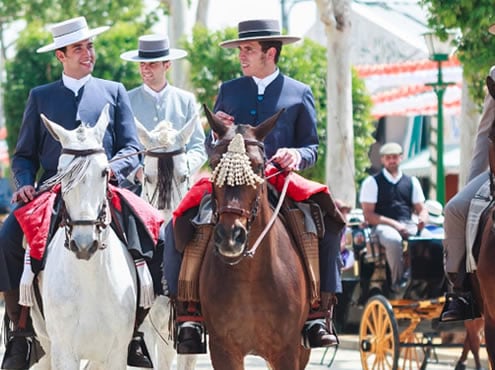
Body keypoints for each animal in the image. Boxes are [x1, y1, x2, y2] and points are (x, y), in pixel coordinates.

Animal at [31, 105, 137, 370]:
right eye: (61, 174)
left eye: (105, 172)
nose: (84, 244)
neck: (89, 277)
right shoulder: (63, 352)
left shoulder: (116, 354)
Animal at [201, 105, 310, 368]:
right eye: (214, 163)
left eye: (259, 166)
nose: (230, 236)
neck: (249, 276)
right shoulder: (223, 349)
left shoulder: (288, 350)